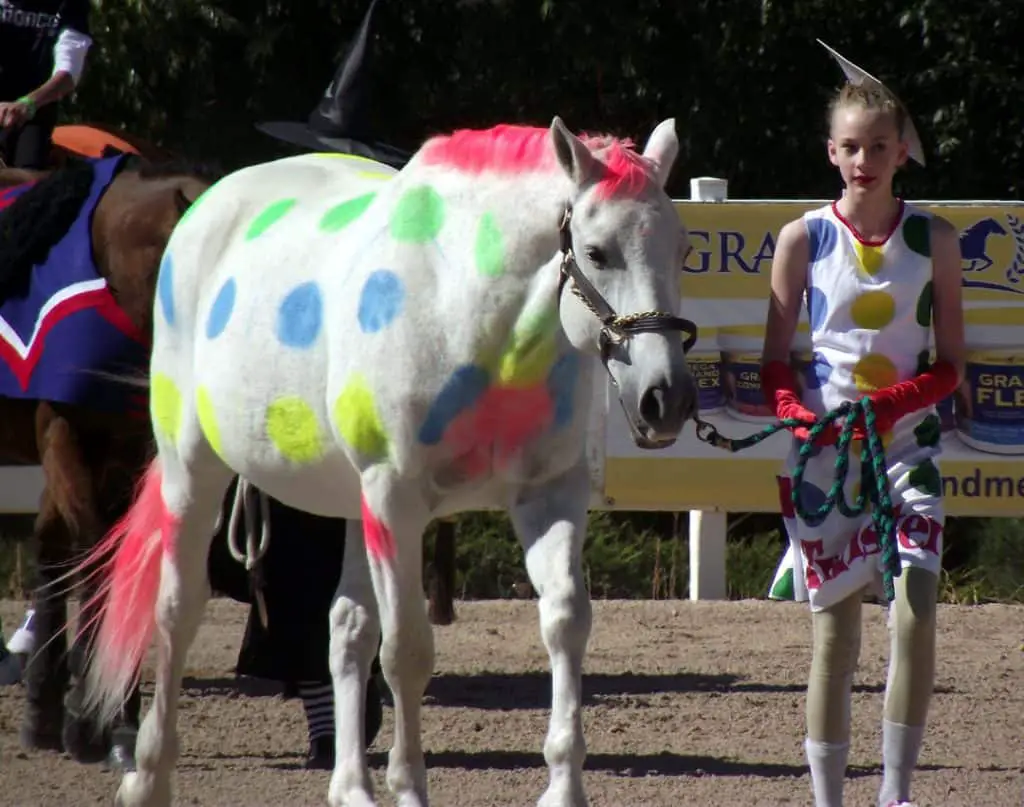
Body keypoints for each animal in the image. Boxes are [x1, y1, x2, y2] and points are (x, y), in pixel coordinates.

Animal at [70, 115, 696, 806]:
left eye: (681, 251)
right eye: (598, 252)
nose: (666, 399)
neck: (474, 321)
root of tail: (208, 206)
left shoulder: (549, 496)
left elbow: (565, 622)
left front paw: (563, 787)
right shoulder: (397, 504)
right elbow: (406, 652)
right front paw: (410, 787)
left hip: (350, 505)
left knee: (346, 628)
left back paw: (352, 786)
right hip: (194, 469)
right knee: (177, 613)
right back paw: (149, 775)